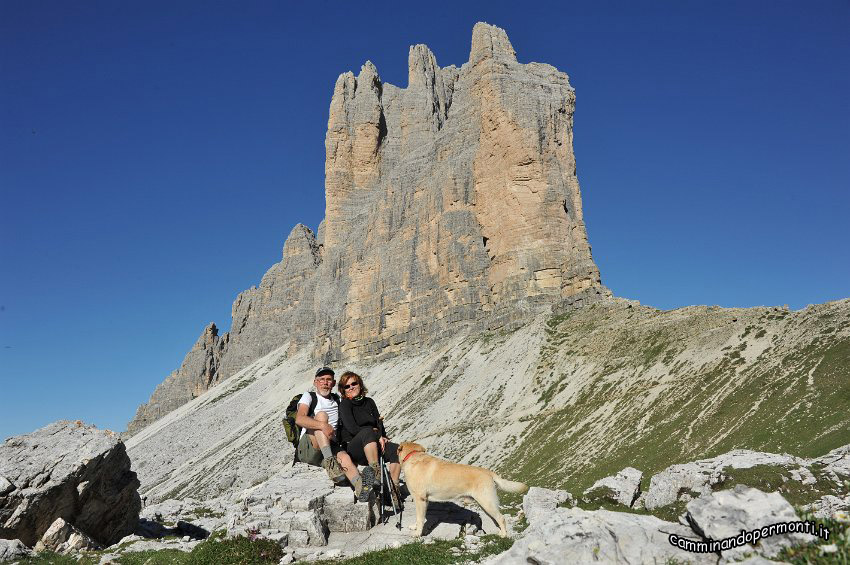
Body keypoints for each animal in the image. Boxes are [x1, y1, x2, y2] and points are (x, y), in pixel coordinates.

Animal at [396, 438, 528, 536]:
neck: (413, 457)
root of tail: (488, 472)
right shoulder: (422, 500)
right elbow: (418, 518)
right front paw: (414, 527)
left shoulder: (420, 499)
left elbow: (420, 518)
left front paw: (418, 534)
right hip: (485, 505)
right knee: (496, 519)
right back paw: (499, 533)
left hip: (487, 502)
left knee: (501, 518)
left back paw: (504, 535)